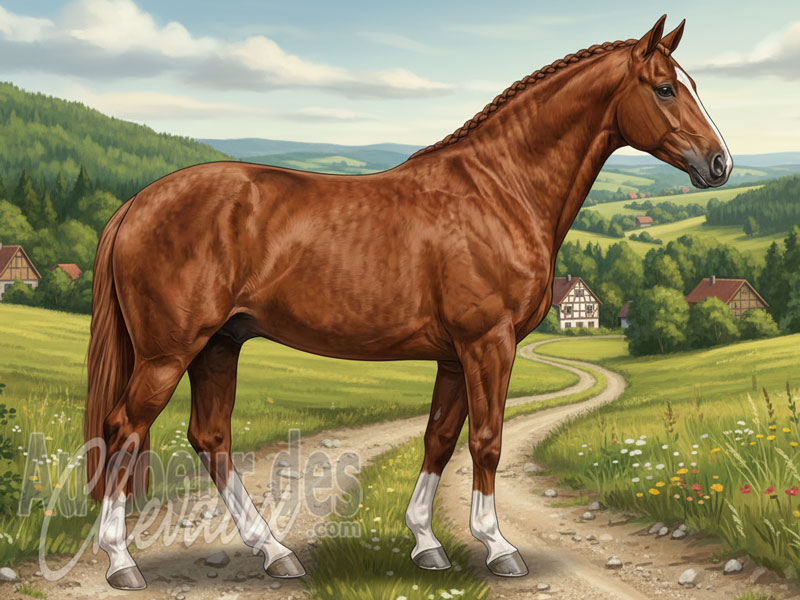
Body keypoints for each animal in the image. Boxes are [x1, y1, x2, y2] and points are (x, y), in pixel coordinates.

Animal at [84, 14, 731, 589]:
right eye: (665, 87)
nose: (719, 162)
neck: (499, 189)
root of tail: (136, 203)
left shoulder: (455, 355)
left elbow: (439, 439)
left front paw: (425, 543)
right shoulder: (487, 344)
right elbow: (487, 440)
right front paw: (498, 547)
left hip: (218, 345)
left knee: (210, 439)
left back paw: (275, 553)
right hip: (168, 353)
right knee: (124, 429)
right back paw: (122, 563)